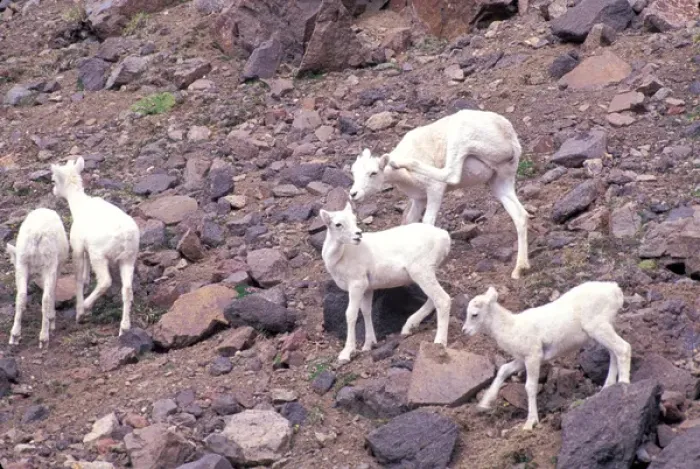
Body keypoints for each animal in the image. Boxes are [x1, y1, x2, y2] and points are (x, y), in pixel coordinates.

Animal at [6, 208, 69, 348]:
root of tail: (37, 235)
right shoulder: (56, 269)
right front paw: (52, 320)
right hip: (49, 264)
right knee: (45, 298)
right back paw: (44, 338)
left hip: (23, 264)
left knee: (21, 296)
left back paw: (15, 336)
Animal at [50, 157, 140, 336]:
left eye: (54, 180)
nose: (54, 191)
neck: (78, 206)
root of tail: (125, 237)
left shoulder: (77, 247)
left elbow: (78, 277)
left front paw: (79, 311)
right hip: (128, 258)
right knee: (127, 289)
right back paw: (124, 328)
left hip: (100, 255)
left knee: (105, 281)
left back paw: (85, 307)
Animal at [319, 201, 452, 364]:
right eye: (338, 224)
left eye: (354, 219)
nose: (358, 234)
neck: (341, 256)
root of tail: (443, 236)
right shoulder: (367, 289)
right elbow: (366, 311)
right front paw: (368, 345)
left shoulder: (356, 284)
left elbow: (351, 314)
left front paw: (346, 353)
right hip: (427, 274)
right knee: (433, 299)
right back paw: (409, 327)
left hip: (422, 272)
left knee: (442, 299)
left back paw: (439, 342)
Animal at [349, 109, 531, 280]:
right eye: (353, 172)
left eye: (373, 173)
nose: (353, 194)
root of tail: (509, 138)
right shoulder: (419, 200)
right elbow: (409, 222)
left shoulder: (434, 191)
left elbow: (427, 222)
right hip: (500, 182)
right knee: (520, 215)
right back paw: (520, 268)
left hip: (461, 137)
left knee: (451, 174)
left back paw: (399, 162)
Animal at [462, 281, 631, 430]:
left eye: (474, 314)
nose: (465, 331)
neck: (511, 327)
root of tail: (615, 290)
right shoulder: (521, 360)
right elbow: (503, 370)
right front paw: (483, 404)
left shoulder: (533, 357)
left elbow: (530, 387)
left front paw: (530, 423)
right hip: (604, 329)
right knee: (614, 353)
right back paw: (608, 387)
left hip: (598, 328)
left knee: (623, 348)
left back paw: (623, 384)